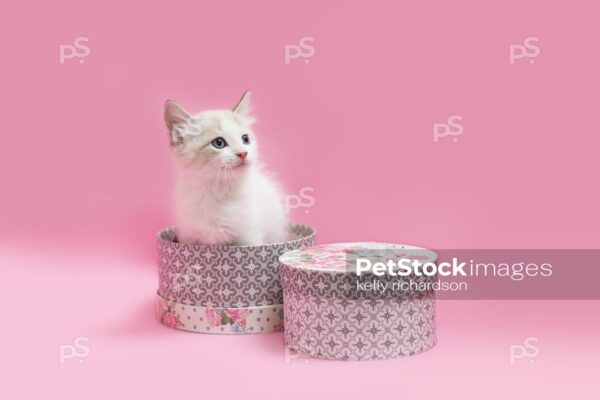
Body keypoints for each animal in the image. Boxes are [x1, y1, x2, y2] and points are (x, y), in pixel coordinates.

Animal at [163, 92, 288, 245]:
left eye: (245, 139)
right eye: (219, 143)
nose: (243, 153)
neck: (217, 190)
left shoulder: (249, 239)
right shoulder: (188, 238)